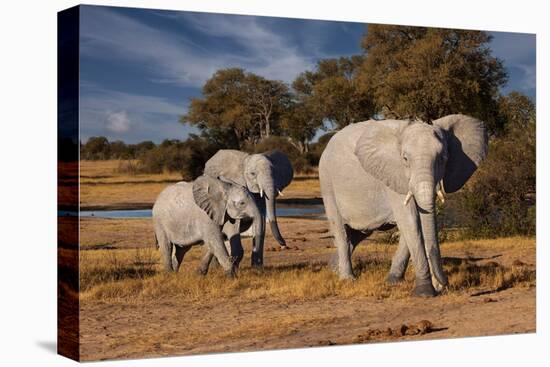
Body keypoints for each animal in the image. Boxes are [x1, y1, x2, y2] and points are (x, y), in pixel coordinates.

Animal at [322, 115, 490, 300]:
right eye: (405, 159)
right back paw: (347, 279)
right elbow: (411, 221)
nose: (443, 285)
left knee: (359, 233)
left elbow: (414, 224)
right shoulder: (394, 176)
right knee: (341, 231)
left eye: (443, 158)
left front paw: (393, 281)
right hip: (327, 182)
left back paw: (333, 269)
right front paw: (424, 293)